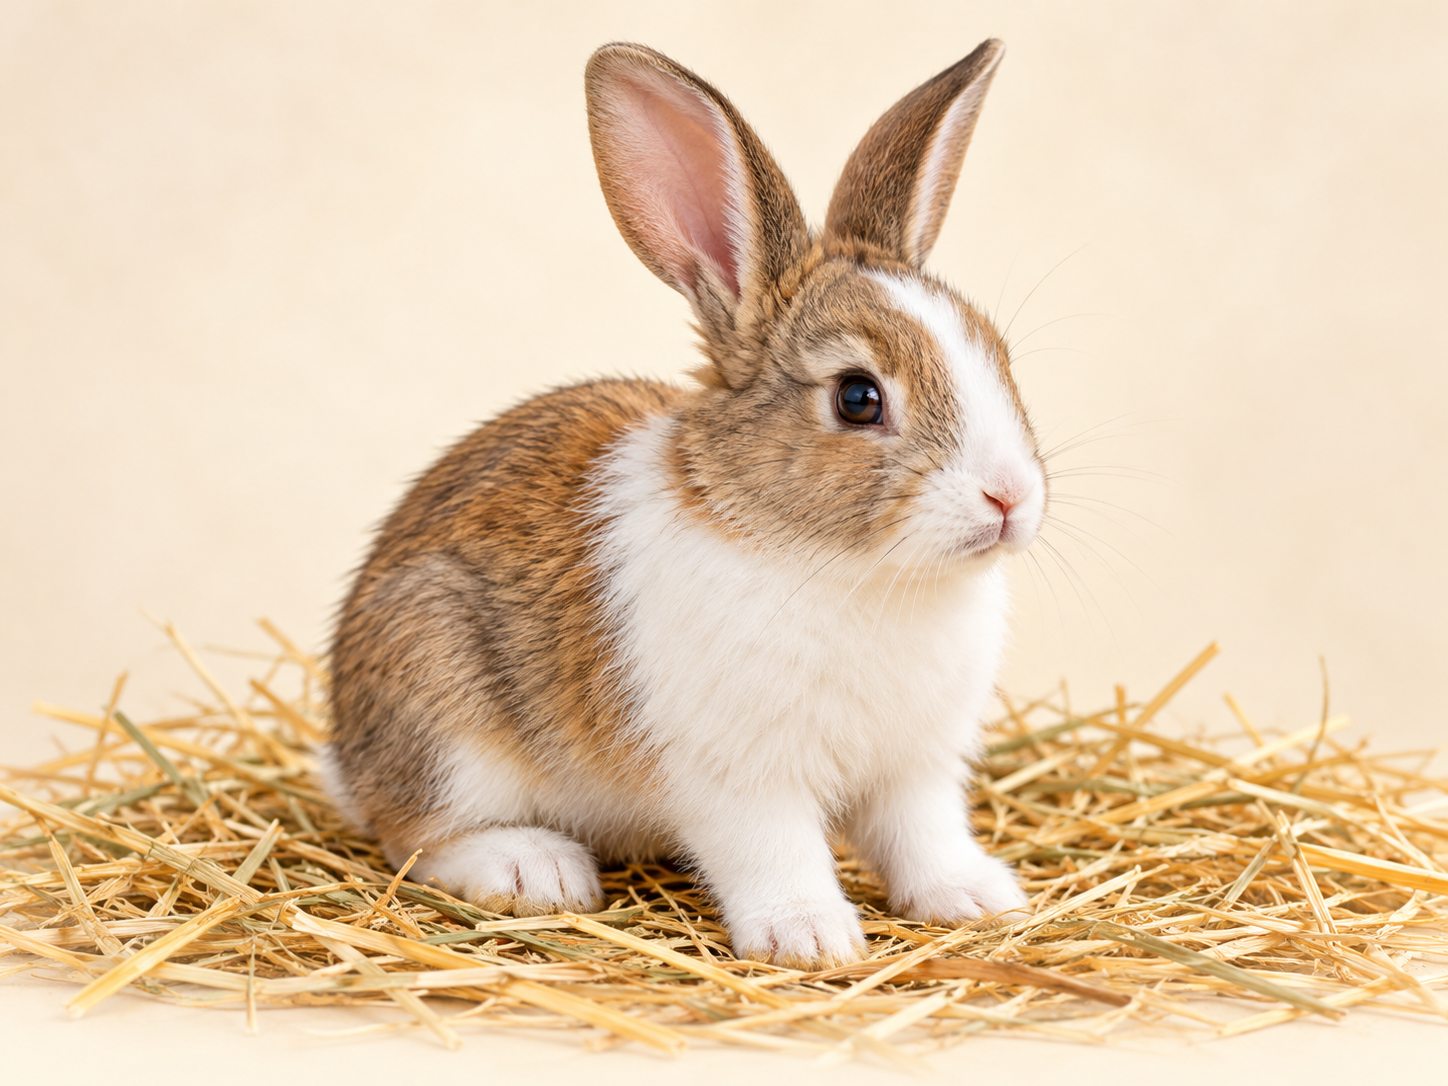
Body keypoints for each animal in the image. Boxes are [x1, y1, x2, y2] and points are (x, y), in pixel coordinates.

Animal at [320, 37, 1044, 968]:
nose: (1010, 495)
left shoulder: (915, 769)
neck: (859, 572)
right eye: (857, 398)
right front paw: (809, 939)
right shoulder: (741, 778)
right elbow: (775, 852)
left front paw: (977, 900)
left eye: (997, 354)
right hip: (440, 699)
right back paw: (534, 870)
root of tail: (348, 748)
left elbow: (924, 838)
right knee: (416, 834)